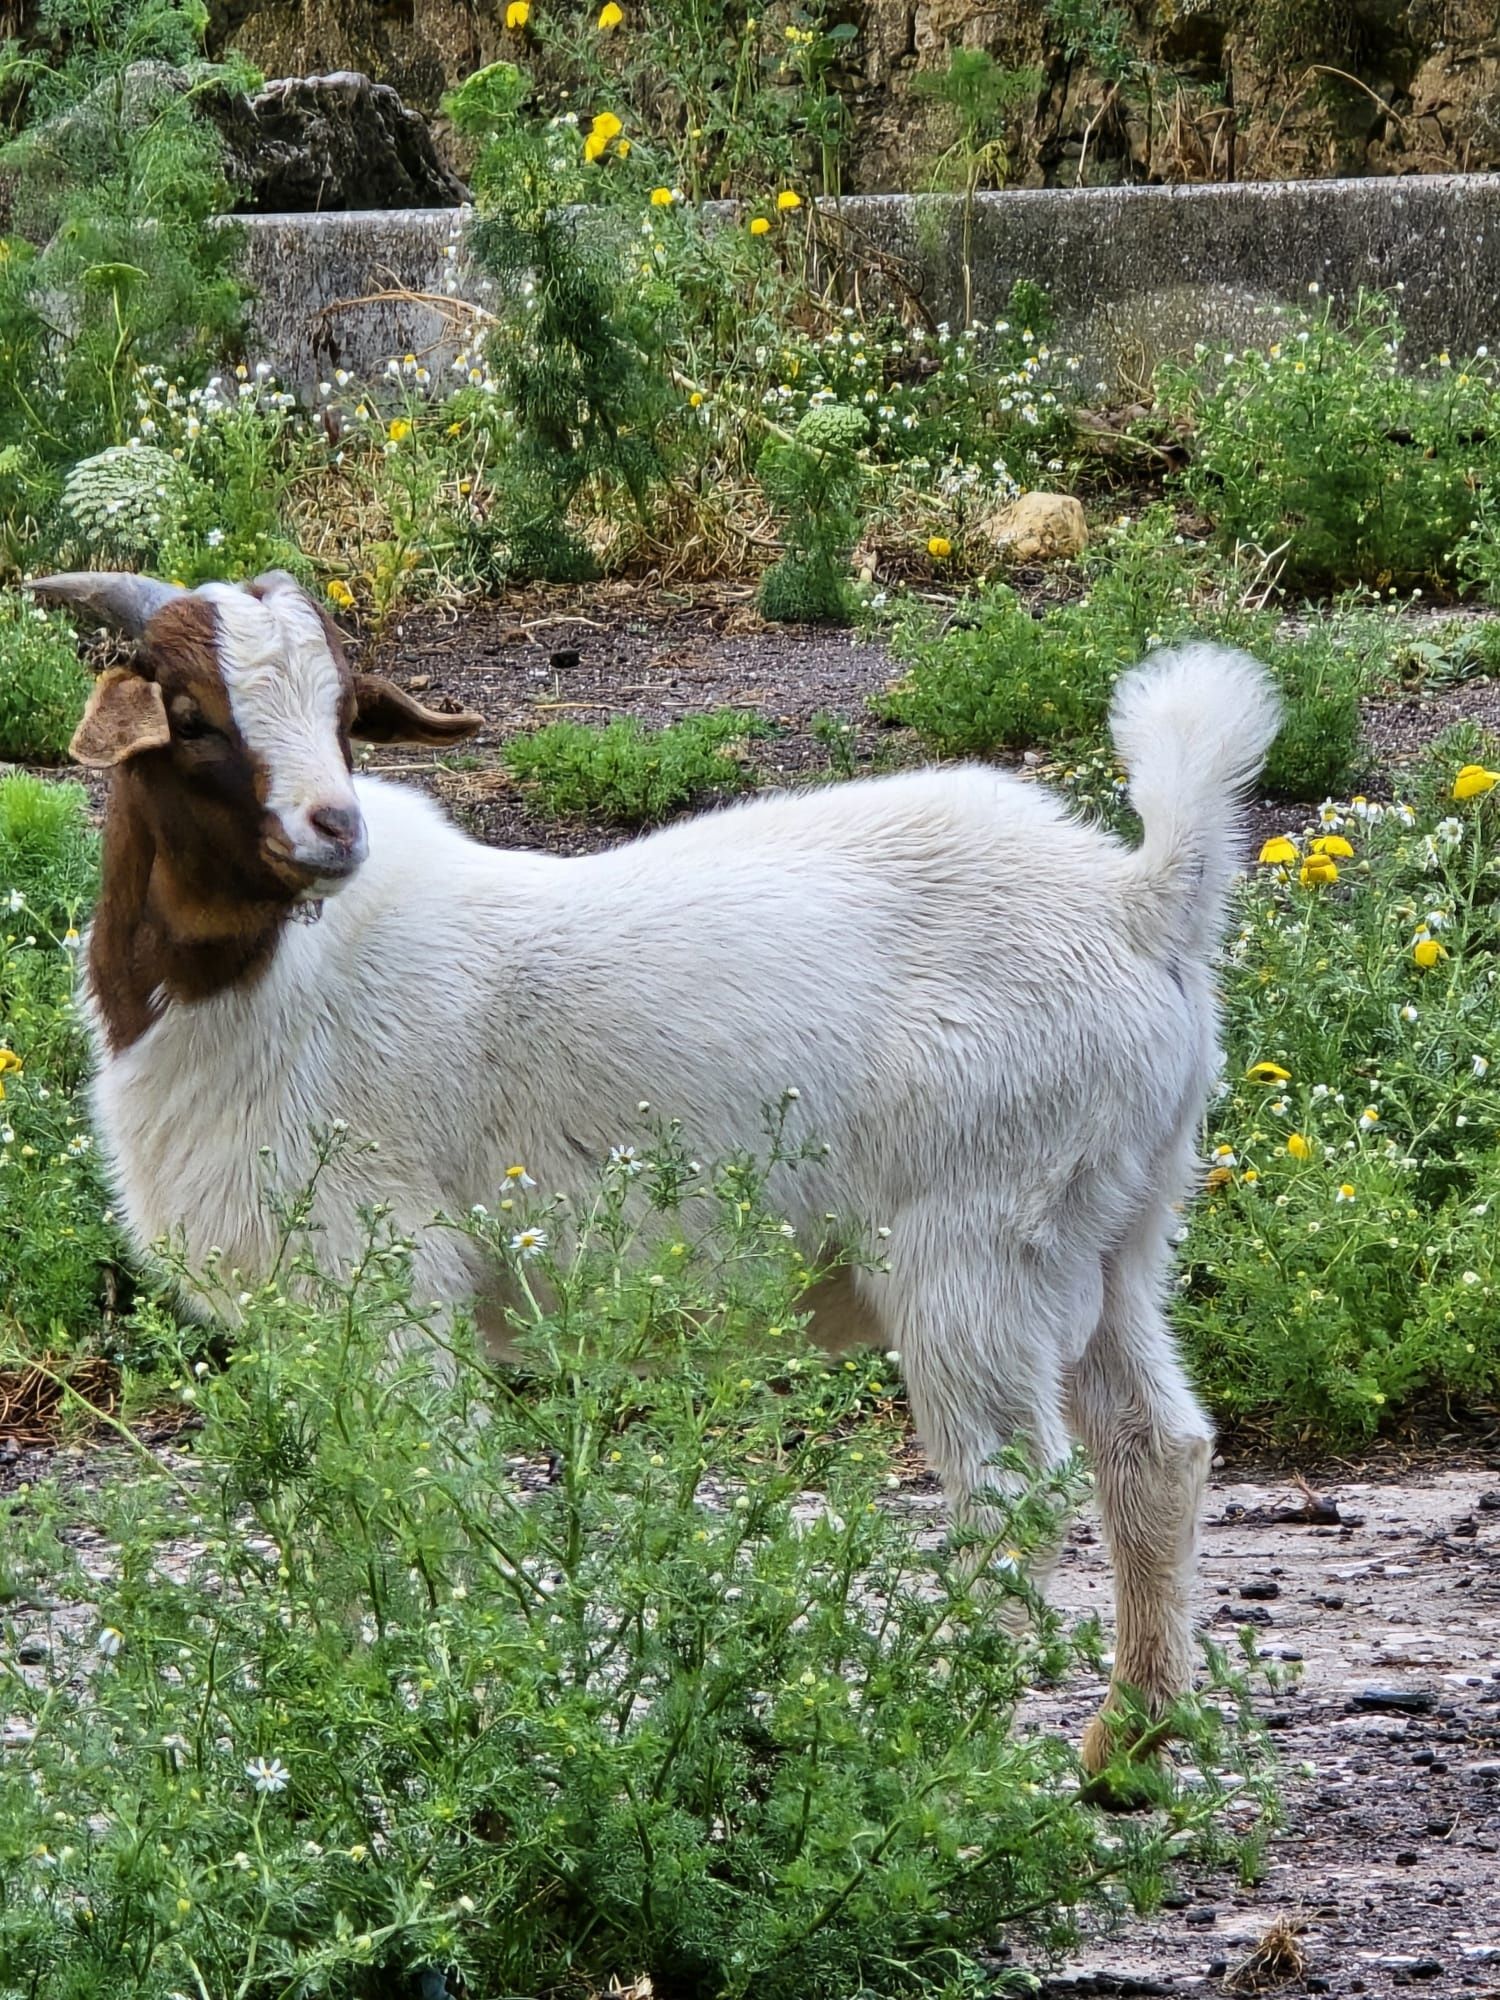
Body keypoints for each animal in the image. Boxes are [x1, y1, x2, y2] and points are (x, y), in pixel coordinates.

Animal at [35, 564, 1280, 1768]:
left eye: (344, 716)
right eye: (192, 713)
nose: (334, 827)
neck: (267, 978)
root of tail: (1140, 904)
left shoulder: (386, 1278)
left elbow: (413, 1491)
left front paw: (418, 1718)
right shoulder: (313, 1316)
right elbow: (337, 1503)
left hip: (977, 1238)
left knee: (1010, 1495)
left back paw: (941, 1744)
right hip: (1118, 1222)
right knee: (1155, 1448)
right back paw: (1132, 1742)